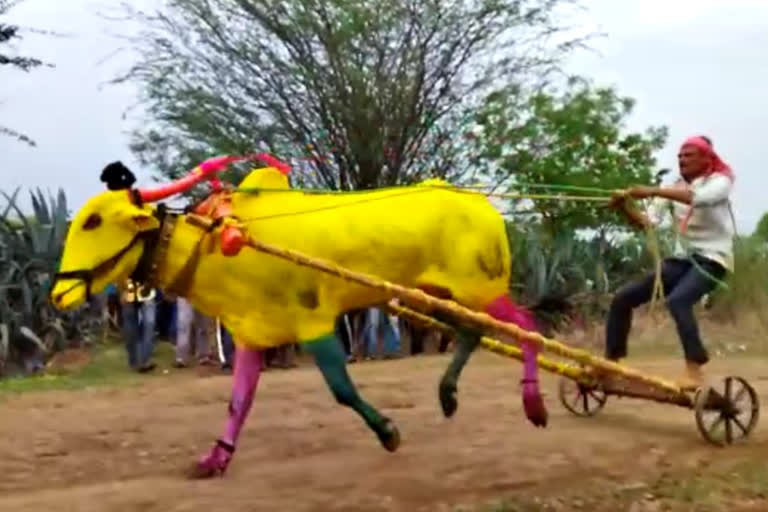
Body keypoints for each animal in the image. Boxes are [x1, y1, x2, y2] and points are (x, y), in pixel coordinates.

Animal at [48, 154, 548, 478]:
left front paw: (387, 431)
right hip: (439, 296)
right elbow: (239, 402)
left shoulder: (315, 325)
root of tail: (480, 203)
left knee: (528, 328)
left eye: (94, 220)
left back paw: (534, 404)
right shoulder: (251, 335)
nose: (58, 293)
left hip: (482, 289)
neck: (222, 242)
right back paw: (447, 395)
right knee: (472, 332)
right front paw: (216, 458)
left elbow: (342, 389)